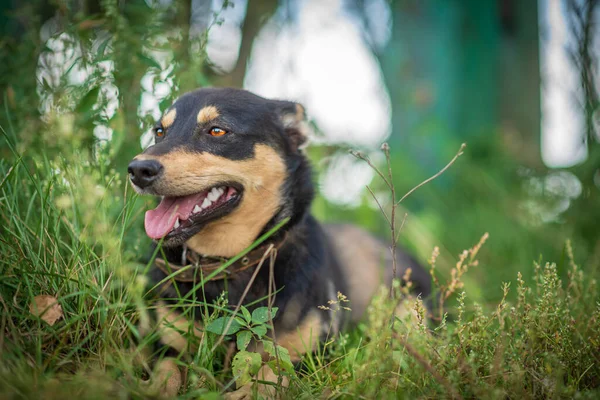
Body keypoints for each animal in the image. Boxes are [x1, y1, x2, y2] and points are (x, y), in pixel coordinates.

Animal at [127, 87, 432, 396]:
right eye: (160, 132)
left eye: (217, 131)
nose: (138, 169)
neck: (230, 263)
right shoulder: (166, 343)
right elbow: (168, 368)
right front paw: (152, 387)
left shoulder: (310, 358)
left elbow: (271, 374)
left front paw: (242, 393)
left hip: (409, 310)